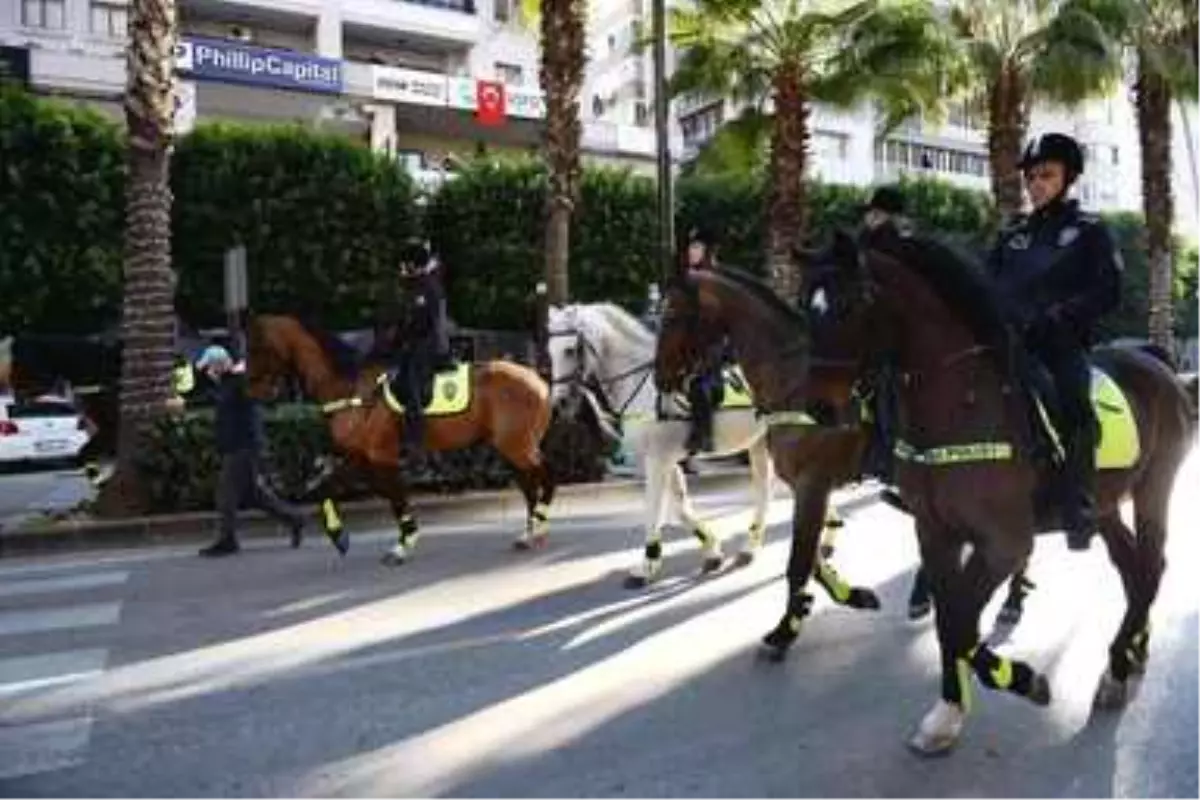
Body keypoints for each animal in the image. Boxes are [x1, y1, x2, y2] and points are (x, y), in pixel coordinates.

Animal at [250, 311, 559, 563]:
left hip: (517, 445)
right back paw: (532, 533)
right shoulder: (358, 456)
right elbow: (328, 489)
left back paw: (539, 523)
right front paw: (339, 536)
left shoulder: (382, 456)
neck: (350, 387)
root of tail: (538, 380)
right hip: (510, 447)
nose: (254, 391)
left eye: (258, 348)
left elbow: (396, 498)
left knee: (546, 476)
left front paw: (403, 544)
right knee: (531, 485)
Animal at [549, 302, 782, 587]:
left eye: (570, 349)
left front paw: (647, 567)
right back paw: (750, 548)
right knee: (764, 491)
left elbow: (653, 509)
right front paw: (712, 554)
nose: (559, 404)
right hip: (759, 444)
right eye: (550, 350)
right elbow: (679, 506)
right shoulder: (665, 460)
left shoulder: (657, 460)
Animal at [777, 231, 1190, 758]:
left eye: (850, 303)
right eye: (803, 304)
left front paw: (1023, 680)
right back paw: (1132, 654)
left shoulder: (1004, 544)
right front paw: (949, 712)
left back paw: (1117, 668)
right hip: (1105, 506)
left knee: (1152, 567)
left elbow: (960, 621)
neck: (961, 403)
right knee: (1135, 571)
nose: (819, 409)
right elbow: (951, 621)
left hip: (1154, 488)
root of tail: (1155, 362)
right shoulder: (936, 533)